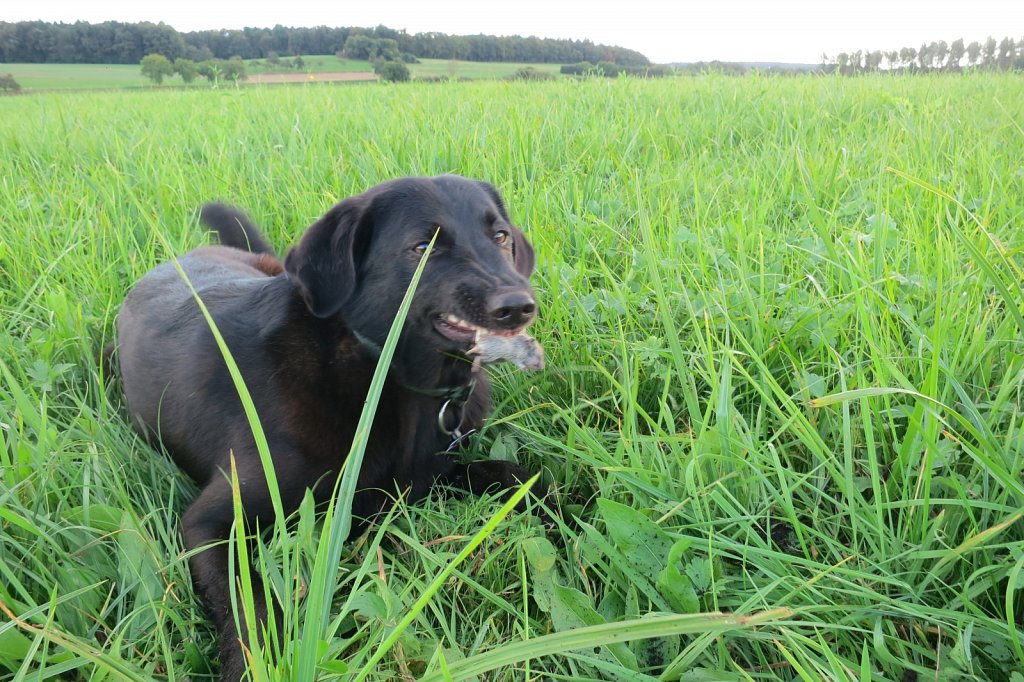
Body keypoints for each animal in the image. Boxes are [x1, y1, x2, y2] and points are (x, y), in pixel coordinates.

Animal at [111, 174, 540, 675]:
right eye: (423, 248)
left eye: (501, 237)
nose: (518, 306)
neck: (381, 372)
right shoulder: (210, 523)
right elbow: (249, 602)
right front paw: (259, 665)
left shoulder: (427, 475)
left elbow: (521, 476)